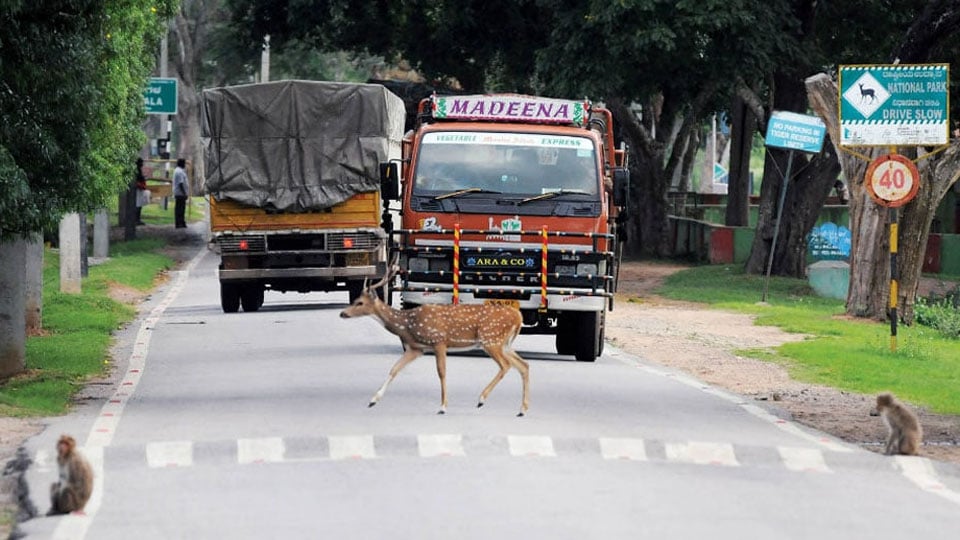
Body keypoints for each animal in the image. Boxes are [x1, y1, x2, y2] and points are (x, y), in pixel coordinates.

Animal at [340, 268, 532, 416]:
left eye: (360, 302)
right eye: (355, 300)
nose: (343, 313)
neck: (408, 324)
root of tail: (518, 316)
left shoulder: (439, 340)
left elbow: (441, 372)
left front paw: (443, 407)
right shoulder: (416, 349)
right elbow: (394, 369)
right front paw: (373, 400)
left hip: (491, 339)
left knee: (506, 365)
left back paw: (481, 399)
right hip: (504, 343)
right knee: (523, 365)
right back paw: (522, 410)